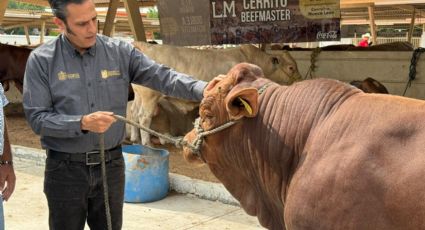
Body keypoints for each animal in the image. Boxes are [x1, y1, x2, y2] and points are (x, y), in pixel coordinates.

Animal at [131, 42, 300, 145]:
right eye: (291, 67)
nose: (299, 80)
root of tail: (144, 46)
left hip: (139, 97)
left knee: (134, 113)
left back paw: (134, 139)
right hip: (149, 96)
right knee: (144, 117)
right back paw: (146, 143)